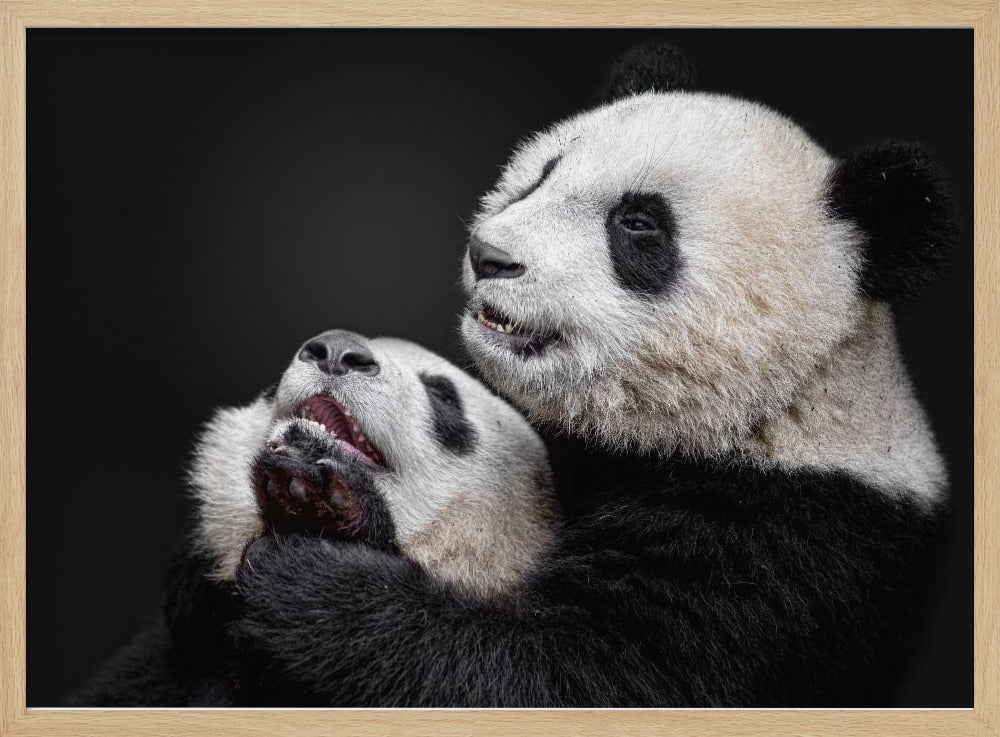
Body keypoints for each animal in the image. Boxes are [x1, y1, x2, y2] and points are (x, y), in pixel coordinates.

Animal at [230, 44, 956, 707]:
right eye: (542, 174)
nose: (489, 255)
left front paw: (315, 561)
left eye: (637, 223)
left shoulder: (783, 548)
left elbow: (572, 675)